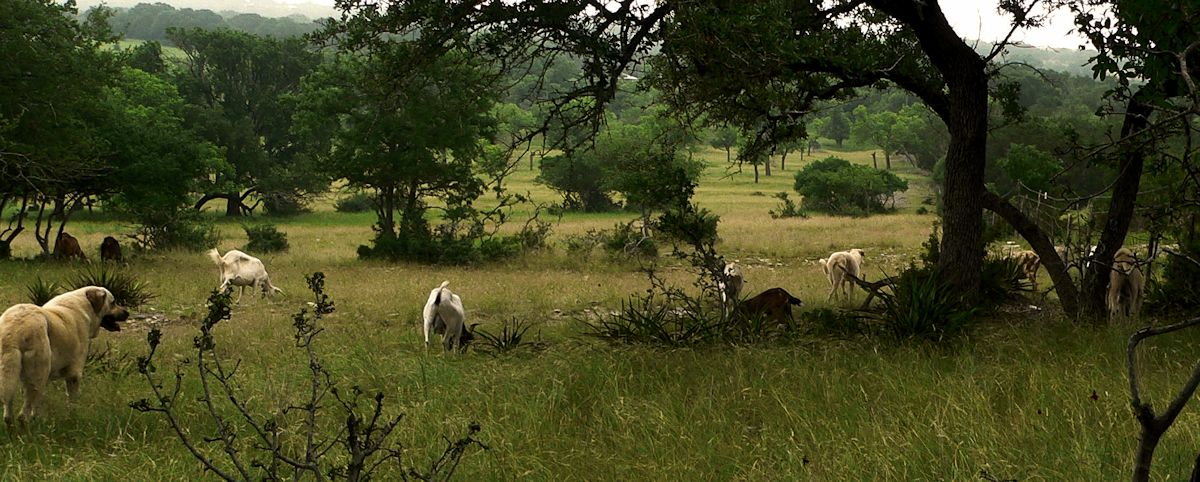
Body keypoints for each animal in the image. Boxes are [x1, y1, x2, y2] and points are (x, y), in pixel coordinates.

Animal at [0, 286, 127, 424]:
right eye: (113, 302)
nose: (127, 313)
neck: (85, 306)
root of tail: (15, 328)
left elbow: (37, 405)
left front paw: (38, 418)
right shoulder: (74, 375)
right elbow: (72, 402)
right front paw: (72, 419)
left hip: (15, 376)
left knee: (8, 415)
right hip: (36, 377)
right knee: (22, 416)